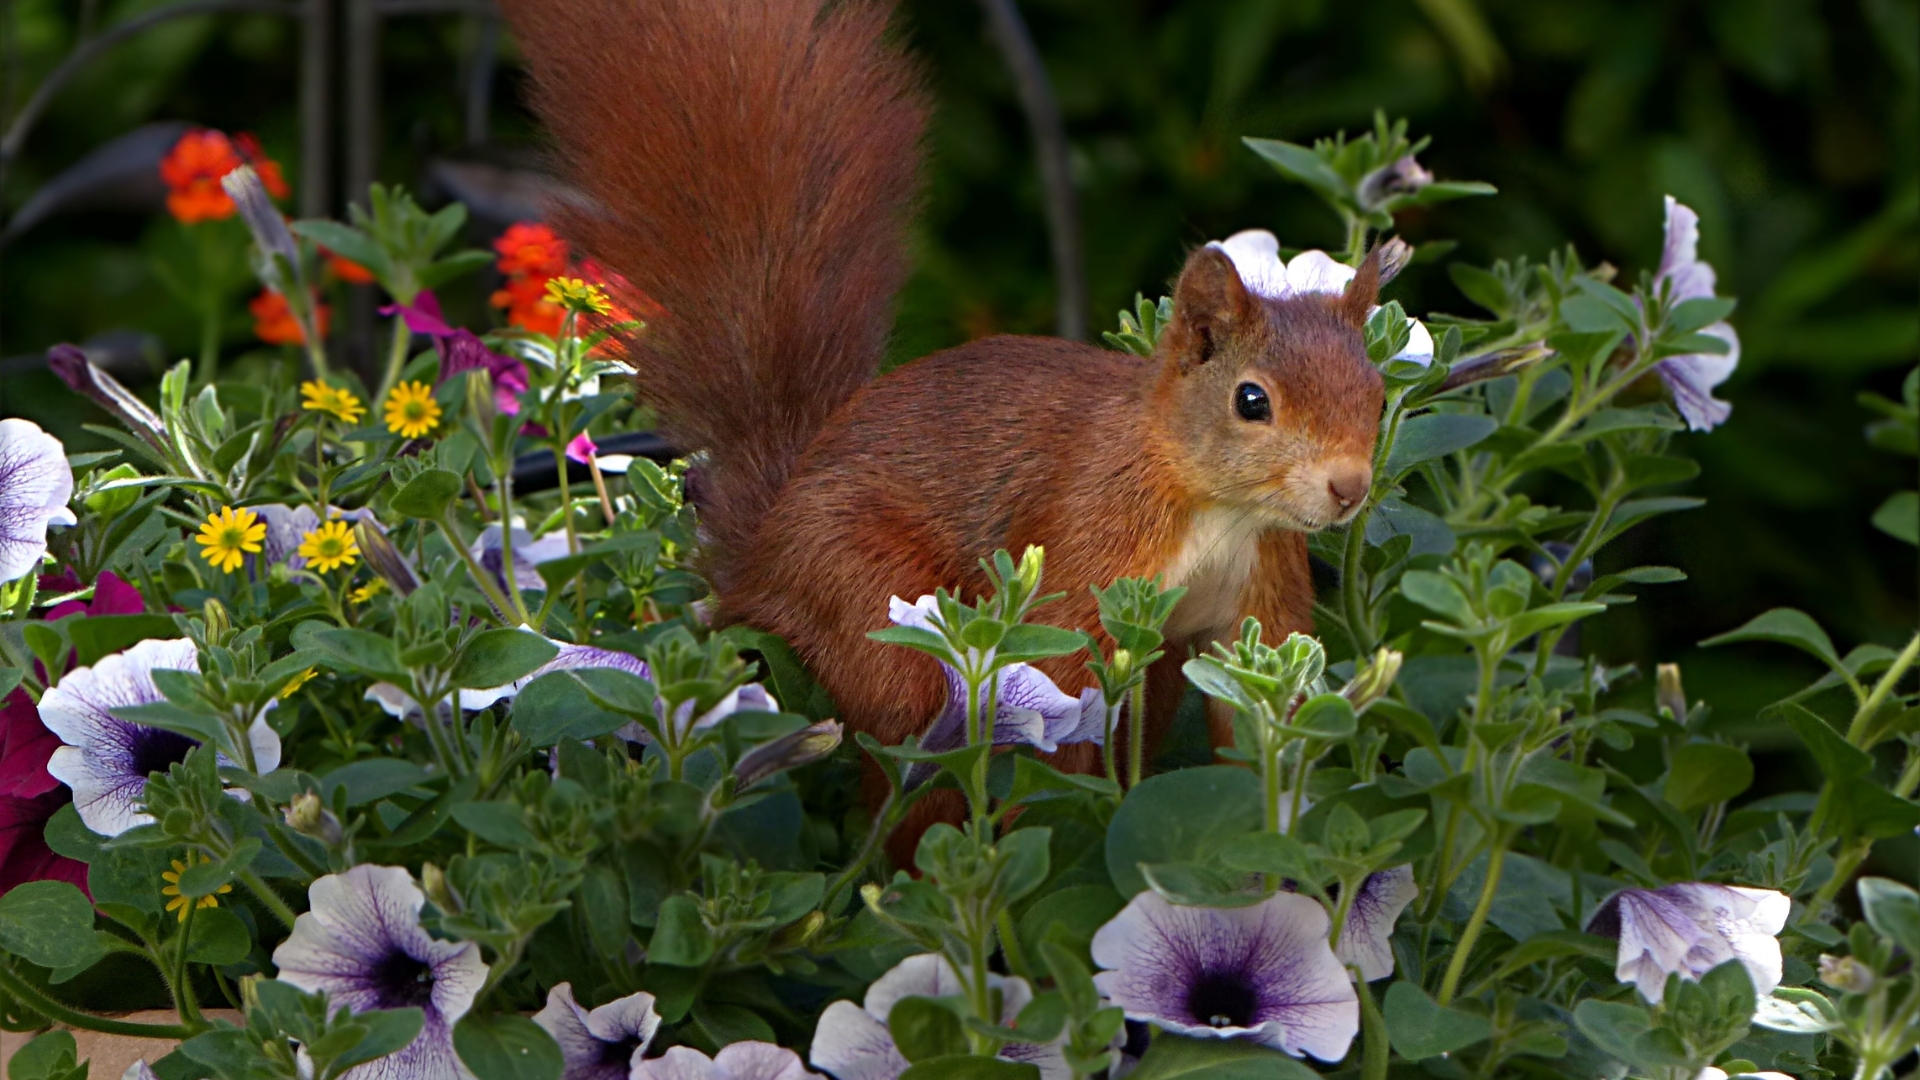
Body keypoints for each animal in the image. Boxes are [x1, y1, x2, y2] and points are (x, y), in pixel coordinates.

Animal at [503, 0, 1390, 772]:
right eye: (1252, 401)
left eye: (1378, 396)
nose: (1349, 487)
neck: (1214, 508)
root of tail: (757, 558)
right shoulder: (1087, 547)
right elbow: (1063, 690)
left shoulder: (1257, 598)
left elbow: (1259, 722)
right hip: (864, 595)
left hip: (1158, 662)